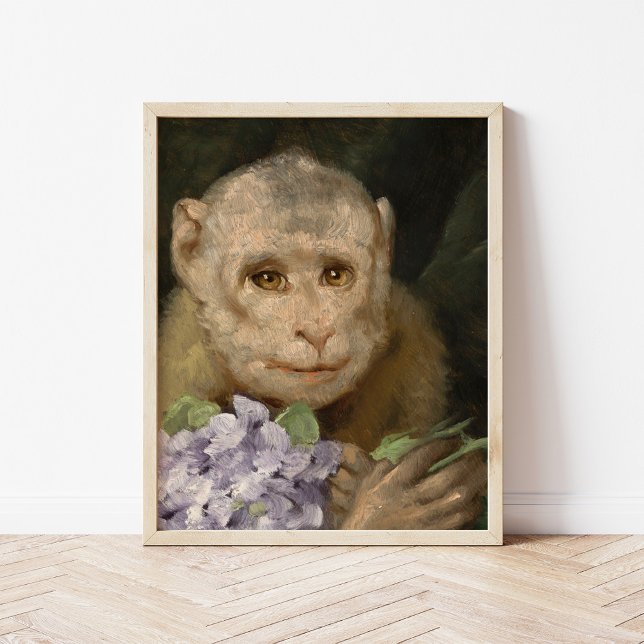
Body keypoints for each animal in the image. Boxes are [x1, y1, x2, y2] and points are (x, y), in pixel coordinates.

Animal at [158, 149, 487, 530]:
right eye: (268, 279)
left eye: (335, 275)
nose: (316, 330)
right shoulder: (183, 358)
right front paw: (386, 506)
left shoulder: (413, 341)